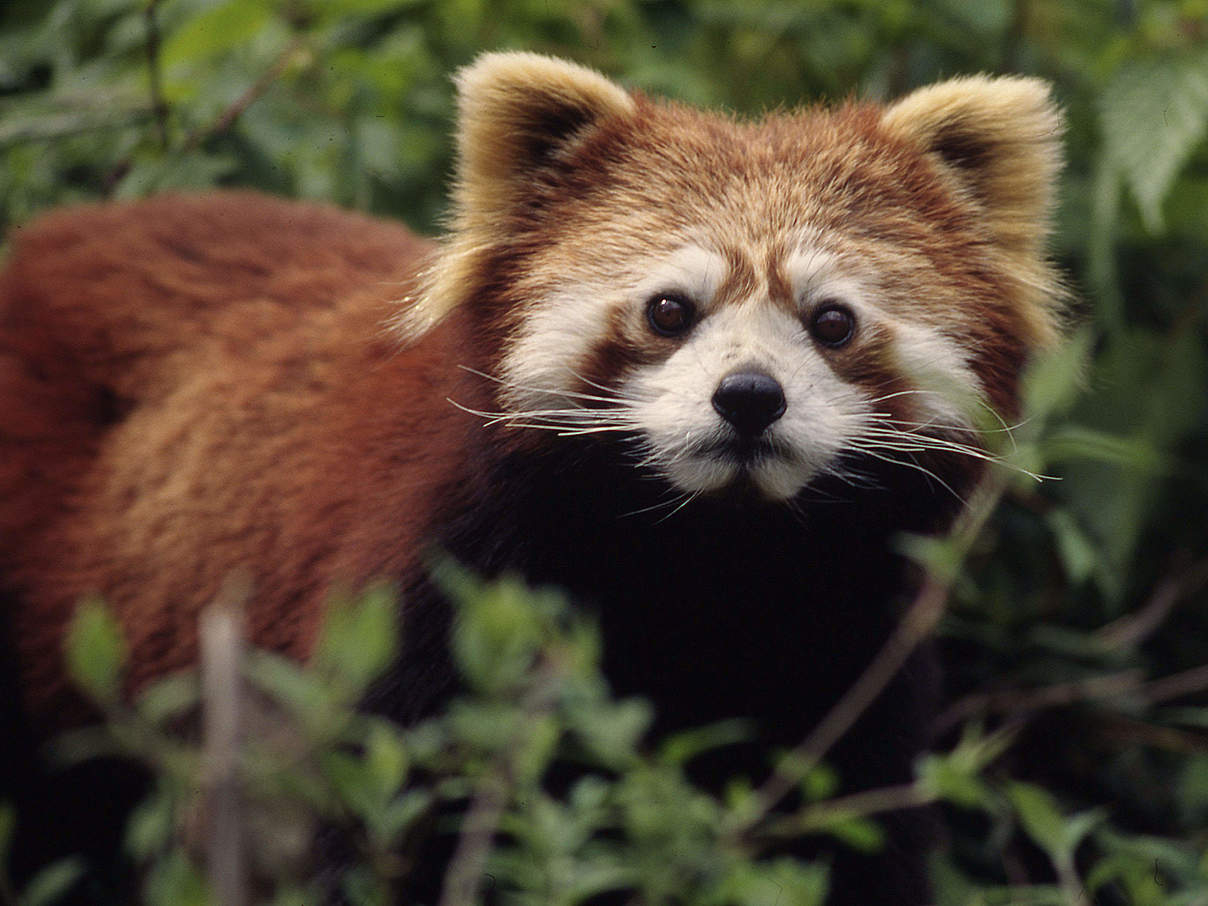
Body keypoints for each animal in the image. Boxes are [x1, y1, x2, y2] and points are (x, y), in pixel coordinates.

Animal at [0, 53, 1063, 903]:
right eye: (670, 310)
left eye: (832, 321)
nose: (749, 397)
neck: (711, 563)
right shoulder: (432, 606)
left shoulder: (853, 653)